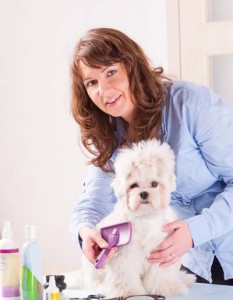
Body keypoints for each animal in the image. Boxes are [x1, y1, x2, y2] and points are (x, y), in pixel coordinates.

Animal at [71, 139, 195, 296]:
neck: (144, 217)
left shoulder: (162, 251)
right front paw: (128, 291)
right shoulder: (124, 254)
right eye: (134, 185)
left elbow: (160, 274)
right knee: (95, 283)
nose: (144, 193)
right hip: (95, 271)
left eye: (154, 184)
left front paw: (163, 288)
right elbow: (125, 275)